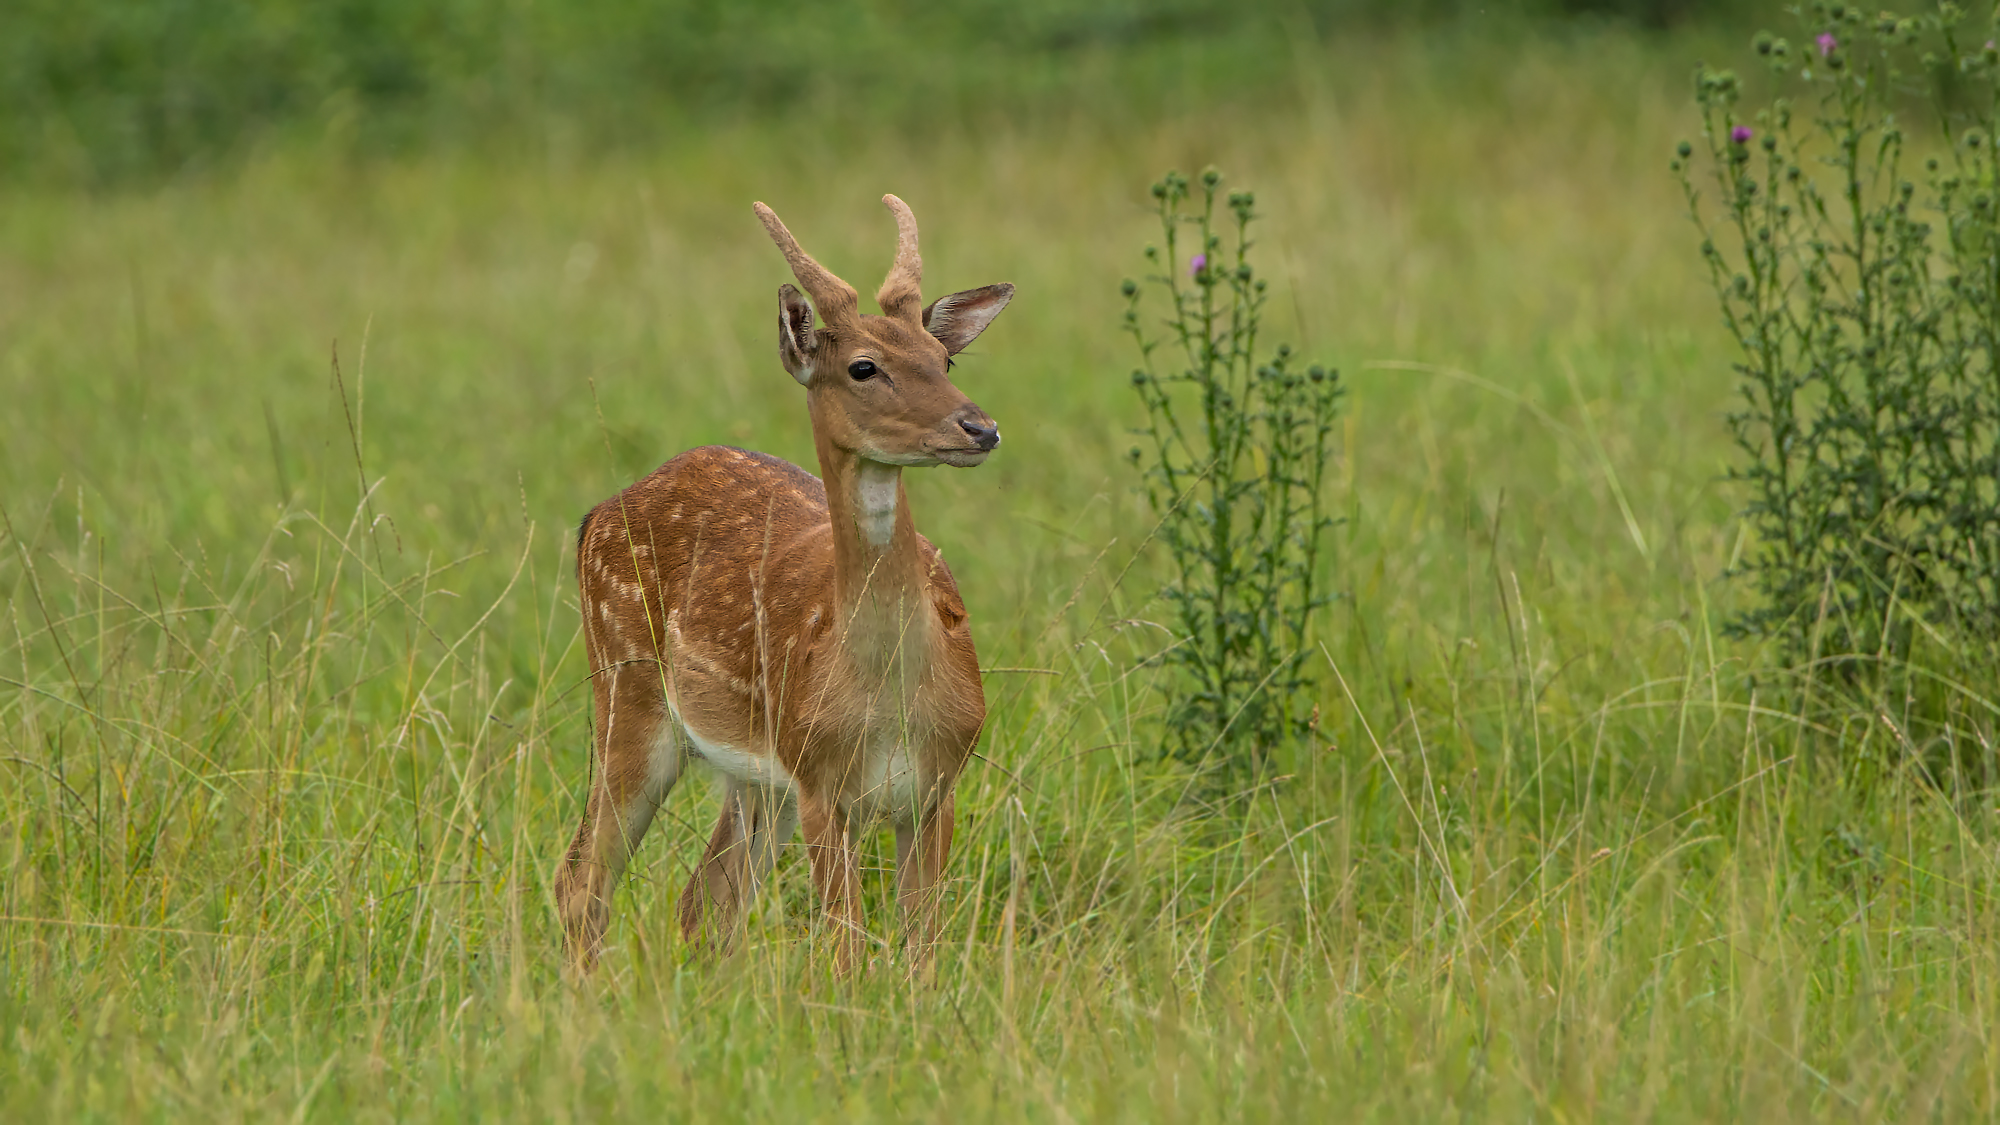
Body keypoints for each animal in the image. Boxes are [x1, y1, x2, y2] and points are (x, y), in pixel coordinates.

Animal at [554, 194, 1013, 974]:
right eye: (863, 366)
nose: (979, 428)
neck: (890, 699)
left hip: (757, 777)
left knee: (703, 896)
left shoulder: (938, 783)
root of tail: (593, 518)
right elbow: (845, 944)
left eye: (944, 356)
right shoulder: (822, 780)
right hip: (627, 688)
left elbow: (922, 946)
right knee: (582, 878)